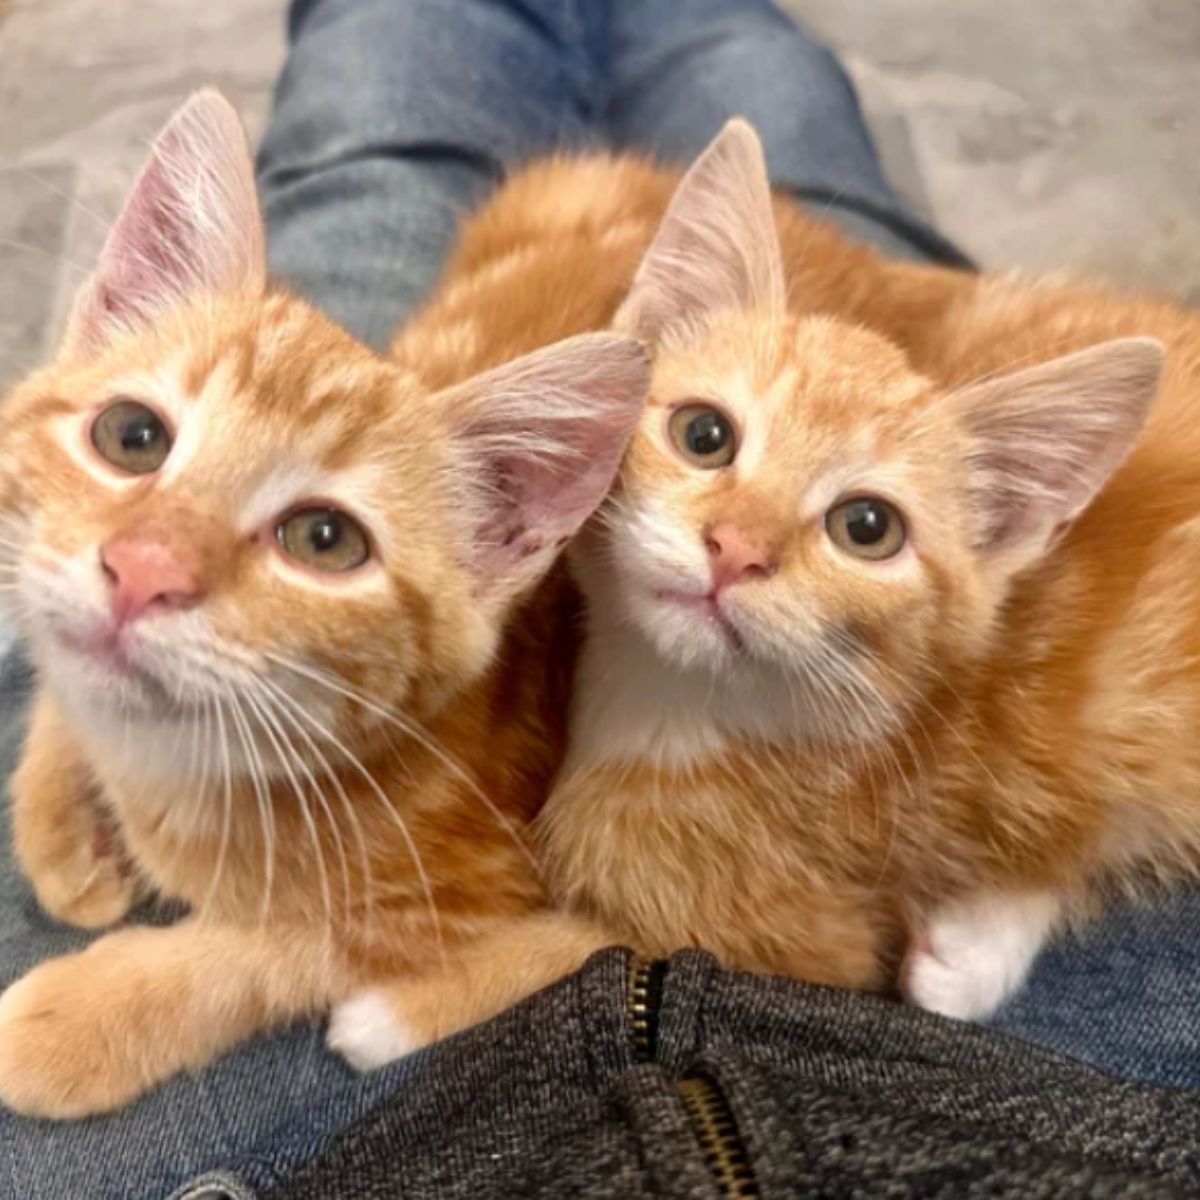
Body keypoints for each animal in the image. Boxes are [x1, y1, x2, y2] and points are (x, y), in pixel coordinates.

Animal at [0, 91, 657, 1113]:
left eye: (323, 540)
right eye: (131, 435)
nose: (144, 568)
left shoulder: (460, 890)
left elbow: (276, 955)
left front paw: (77, 1022)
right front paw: (62, 830)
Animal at [321, 121, 1200, 1065]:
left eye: (867, 526)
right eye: (704, 434)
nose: (736, 550)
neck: (667, 704)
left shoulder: (813, 938)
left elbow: (597, 952)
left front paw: (394, 1011)